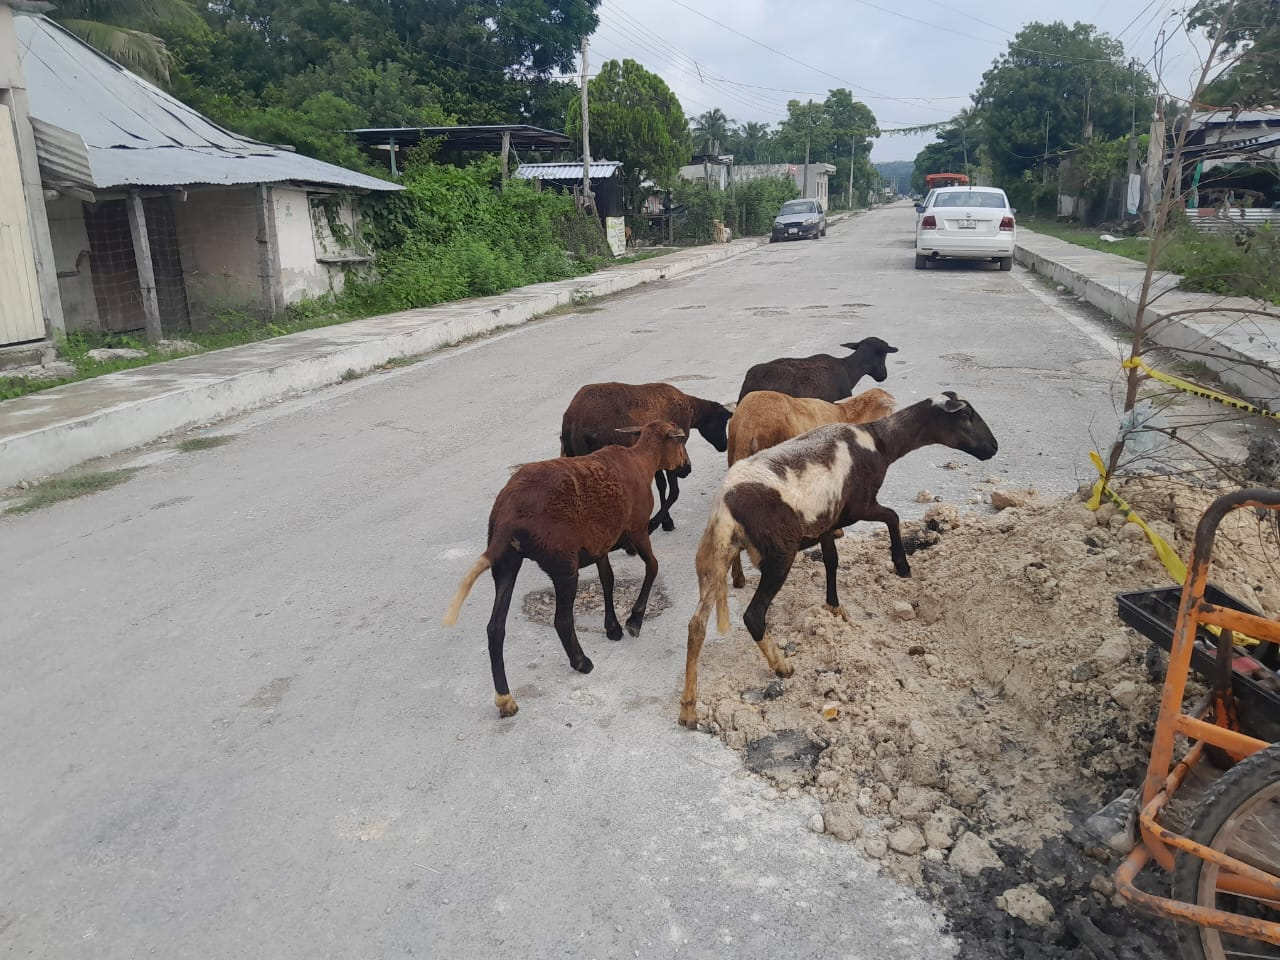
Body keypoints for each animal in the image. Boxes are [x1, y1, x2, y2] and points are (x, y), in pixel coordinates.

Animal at [448, 419, 691, 721]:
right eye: (681, 442)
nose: (687, 468)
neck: (642, 461)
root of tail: (507, 515)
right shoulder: (637, 530)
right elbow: (653, 567)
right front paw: (634, 620)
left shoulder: (600, 543)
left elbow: (608, 579)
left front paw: (613, 628)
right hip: (563, 564)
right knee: (562, 620)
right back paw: (582, 662)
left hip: (506, 562)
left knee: (495, 628)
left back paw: (505, 699)